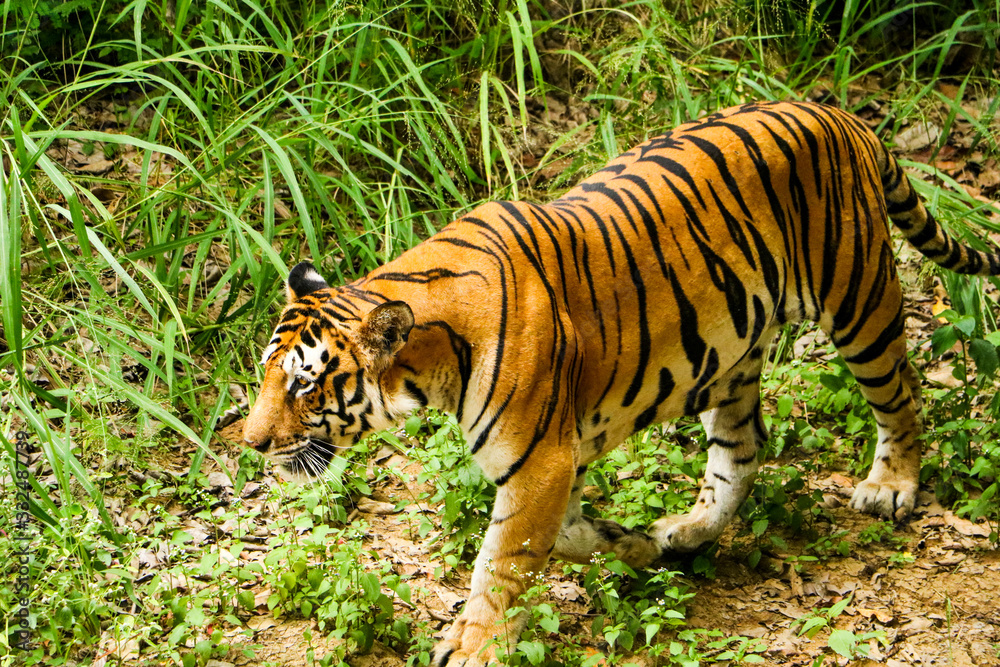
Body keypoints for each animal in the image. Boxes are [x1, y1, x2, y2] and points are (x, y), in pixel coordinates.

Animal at [242, 101, 1000, 666]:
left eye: (305, 387)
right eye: (265, 377)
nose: (250, 443)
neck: (431, 361)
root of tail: (836, 112)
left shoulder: (539, 462)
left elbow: (502, 563)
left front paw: (474, 647)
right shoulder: (558, 458)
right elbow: (556, 539)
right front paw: (632, 544)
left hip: (858, 299)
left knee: (900, 395)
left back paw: (891, 486)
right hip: (729, 356)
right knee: (742, 449)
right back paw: (686, 531)